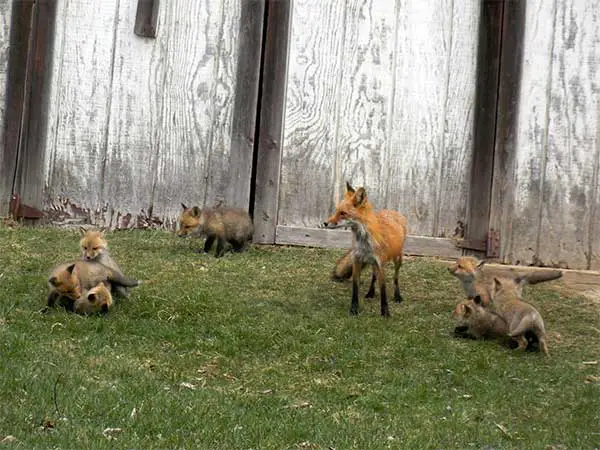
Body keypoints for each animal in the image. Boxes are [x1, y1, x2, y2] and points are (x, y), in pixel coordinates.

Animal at [324, 182, 408, 316]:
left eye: (343, 213)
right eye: (336, 211)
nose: (325, 223)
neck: (364, 243)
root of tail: (392, 211)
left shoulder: (380, 264)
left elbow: (383, 289)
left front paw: (385, 312)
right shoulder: (357, 260)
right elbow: (355, 287)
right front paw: (354, 309)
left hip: (397, 258)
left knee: (395, 278)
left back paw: (397, 295)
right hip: (373, 263)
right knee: (373, 276)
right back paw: (370, 292)